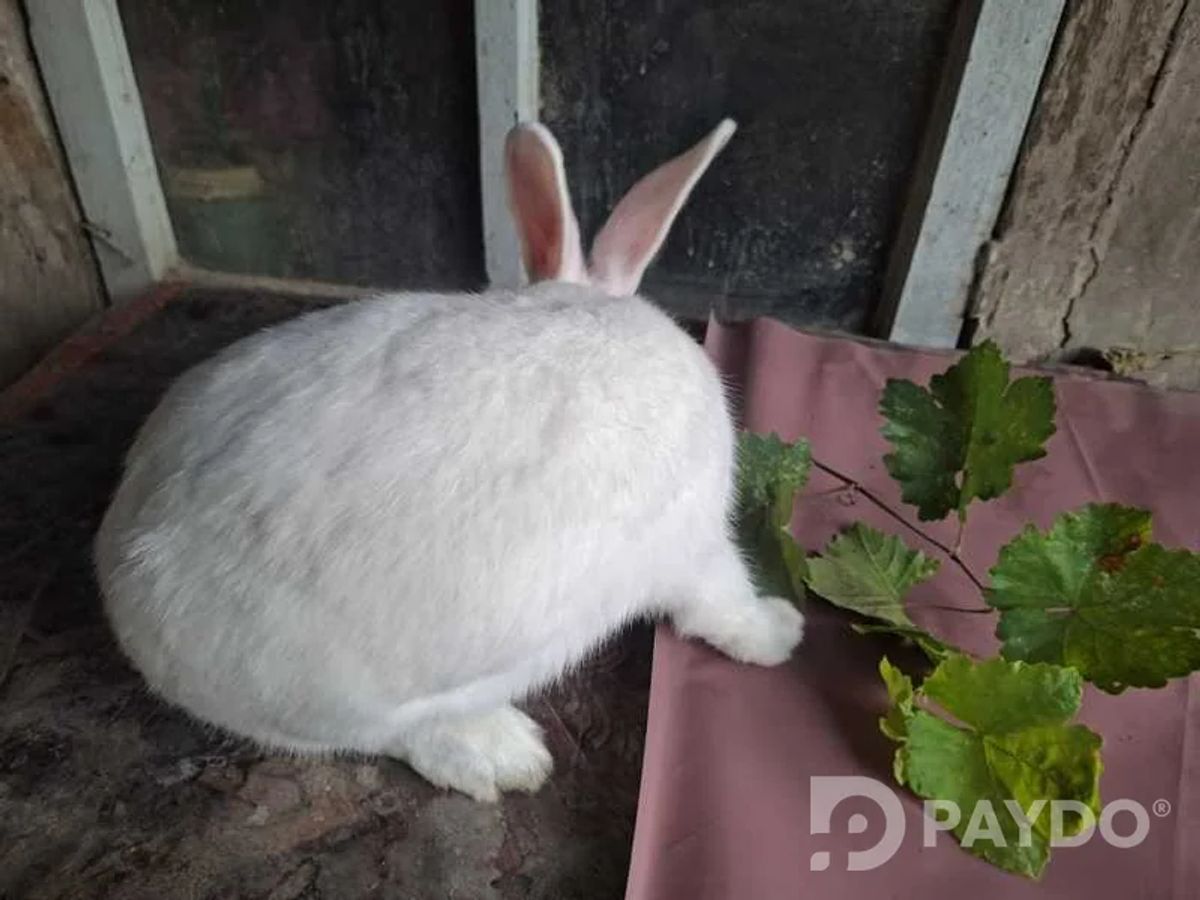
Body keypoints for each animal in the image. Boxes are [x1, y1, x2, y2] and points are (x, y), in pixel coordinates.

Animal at [94, 118, 804, 802]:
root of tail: (124, 574)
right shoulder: (696, 546)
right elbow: (725, 605)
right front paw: (782, 633)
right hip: (345, 697)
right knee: (380, 736)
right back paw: (501, 755)